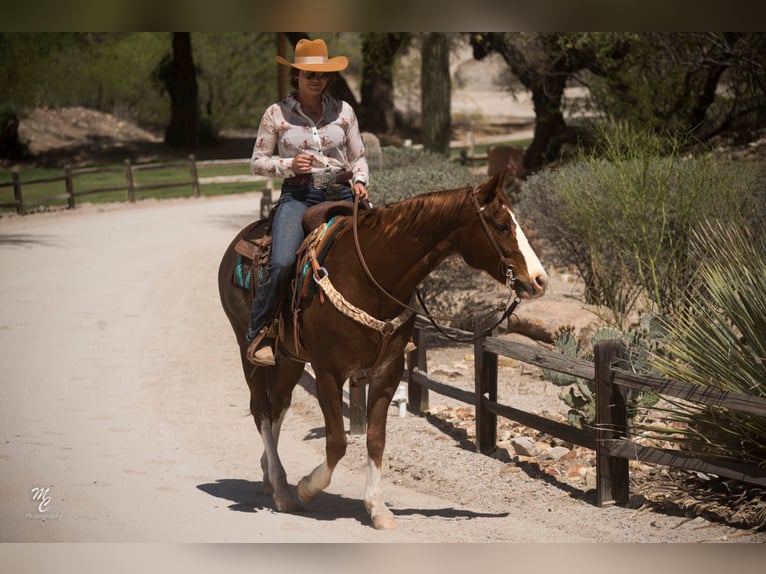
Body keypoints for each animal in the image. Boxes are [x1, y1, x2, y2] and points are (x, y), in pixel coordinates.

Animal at [219, 171, 548, 532]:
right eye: (501, 225)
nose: (539, 280)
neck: (368, 275)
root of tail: (242, 240)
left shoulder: (387, 371)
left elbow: (376, 439)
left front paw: (377, 508)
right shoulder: (328, 372)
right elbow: (337, 441)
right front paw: (307, 487)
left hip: (289, 359)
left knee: (279, 406)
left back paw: (269, 475)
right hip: (248, 351)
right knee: (262, 410)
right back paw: (282, 489)